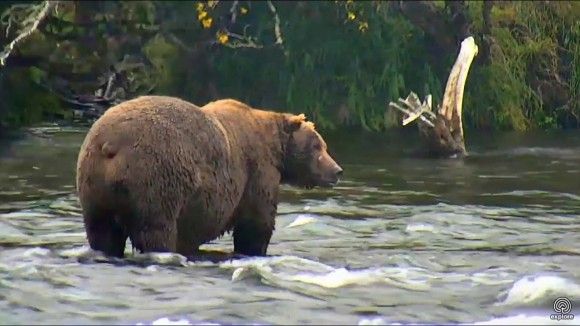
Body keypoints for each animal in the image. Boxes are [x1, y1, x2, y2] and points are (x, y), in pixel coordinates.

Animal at [75, 95, 342, 258]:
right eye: (318, 147)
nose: (337, 170)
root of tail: (110, 145)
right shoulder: (257, 172)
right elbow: (256, 224)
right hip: (155, 177)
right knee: (156, 229)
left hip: (94, 188)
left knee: (102, 232)